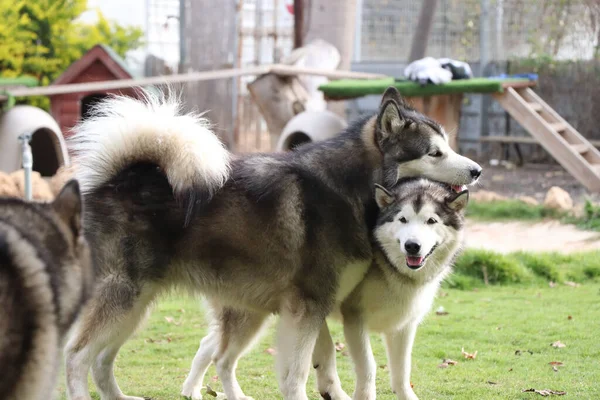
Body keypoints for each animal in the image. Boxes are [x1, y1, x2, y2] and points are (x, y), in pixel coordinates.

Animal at [183, 179, 468, 400]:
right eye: (403, 219)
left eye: (431, 221)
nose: (412, 246)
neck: (393, 268)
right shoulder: (354, 320)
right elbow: (368, 367)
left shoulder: (404, 327)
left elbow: (401, 373)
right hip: (252, 318)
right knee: (222, 357)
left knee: (208, 344)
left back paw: (190, 390)